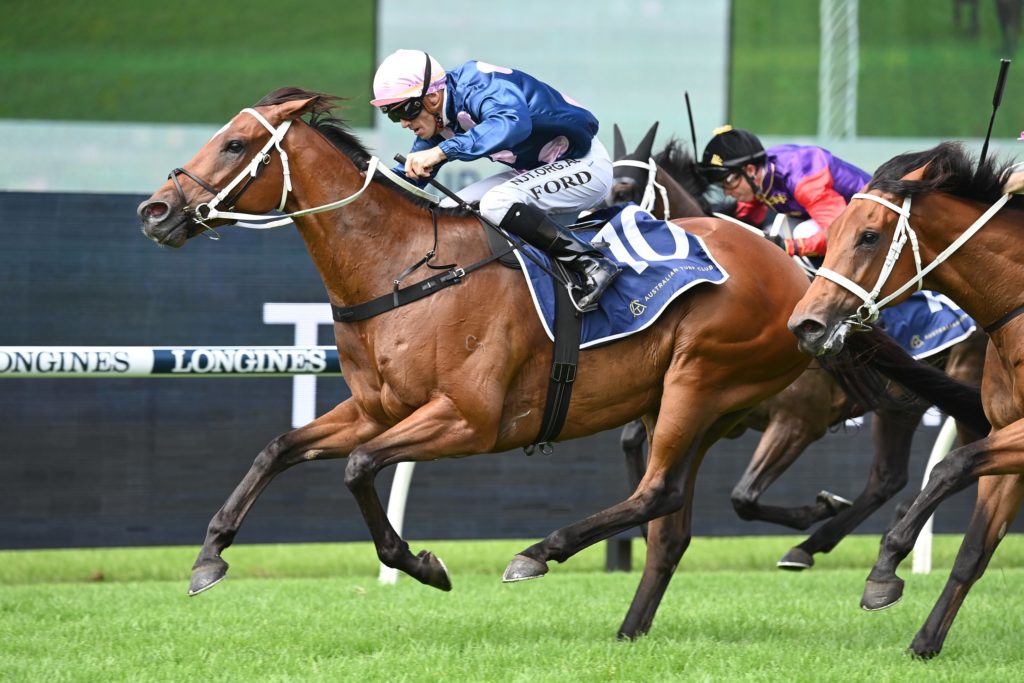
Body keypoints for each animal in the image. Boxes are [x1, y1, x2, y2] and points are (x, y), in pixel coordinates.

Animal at [611, 127, 988, 569]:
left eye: (625, 189)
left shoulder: (798, 421)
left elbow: (743, 498)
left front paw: (820, 507)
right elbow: (632, 439)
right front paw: (642, 524)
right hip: (901, 404)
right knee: (887, 477)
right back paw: (816, 543)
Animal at [788, 141, 1024, 657]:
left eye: (869, 236)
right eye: (830, 233)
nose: (805, 324)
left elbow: (949, 466)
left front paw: (884, 570)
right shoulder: (1007, 438)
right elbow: (973, 551)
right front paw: (925, 641)